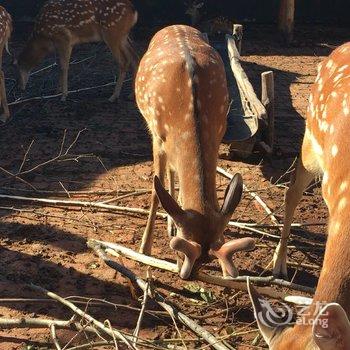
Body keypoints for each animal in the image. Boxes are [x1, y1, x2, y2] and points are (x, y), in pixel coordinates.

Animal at [136, 24, 254, 280]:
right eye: (183, 249)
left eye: (208, 257)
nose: (187, 274)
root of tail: (175, 25)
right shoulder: (157, 136)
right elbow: (155, 190)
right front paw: (144, 248)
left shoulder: (218, 134)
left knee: (174, 171)